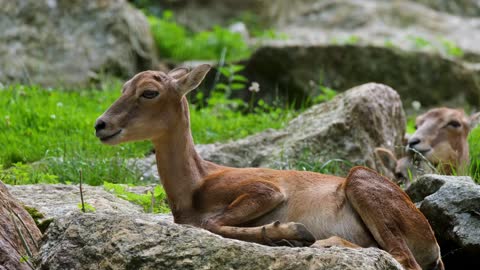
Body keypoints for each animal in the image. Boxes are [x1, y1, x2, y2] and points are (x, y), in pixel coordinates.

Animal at [94, 64, 442, 268]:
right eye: (123, 88)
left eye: (149, 92)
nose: (101, 125)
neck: (195, 186)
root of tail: (434, 245)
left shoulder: (266, 189)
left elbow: (213, 223)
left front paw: (291, 231)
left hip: (362, 181)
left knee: (401, 258)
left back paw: (322, 241)